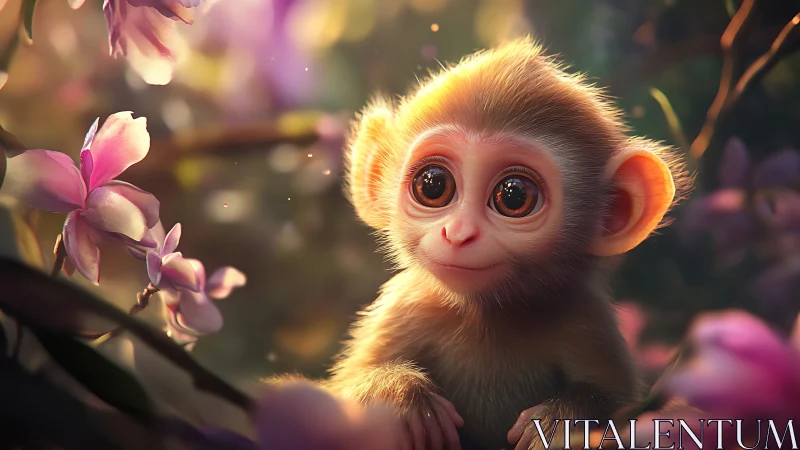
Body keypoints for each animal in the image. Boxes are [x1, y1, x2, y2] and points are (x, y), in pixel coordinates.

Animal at [319, 36, 691, 450]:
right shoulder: (404, 305)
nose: (459, 233)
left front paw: (563, 419)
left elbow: (624, 412)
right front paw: (402, 396)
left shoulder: (589, 322)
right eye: (433, 185)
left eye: (513, 195)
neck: (486, 315)